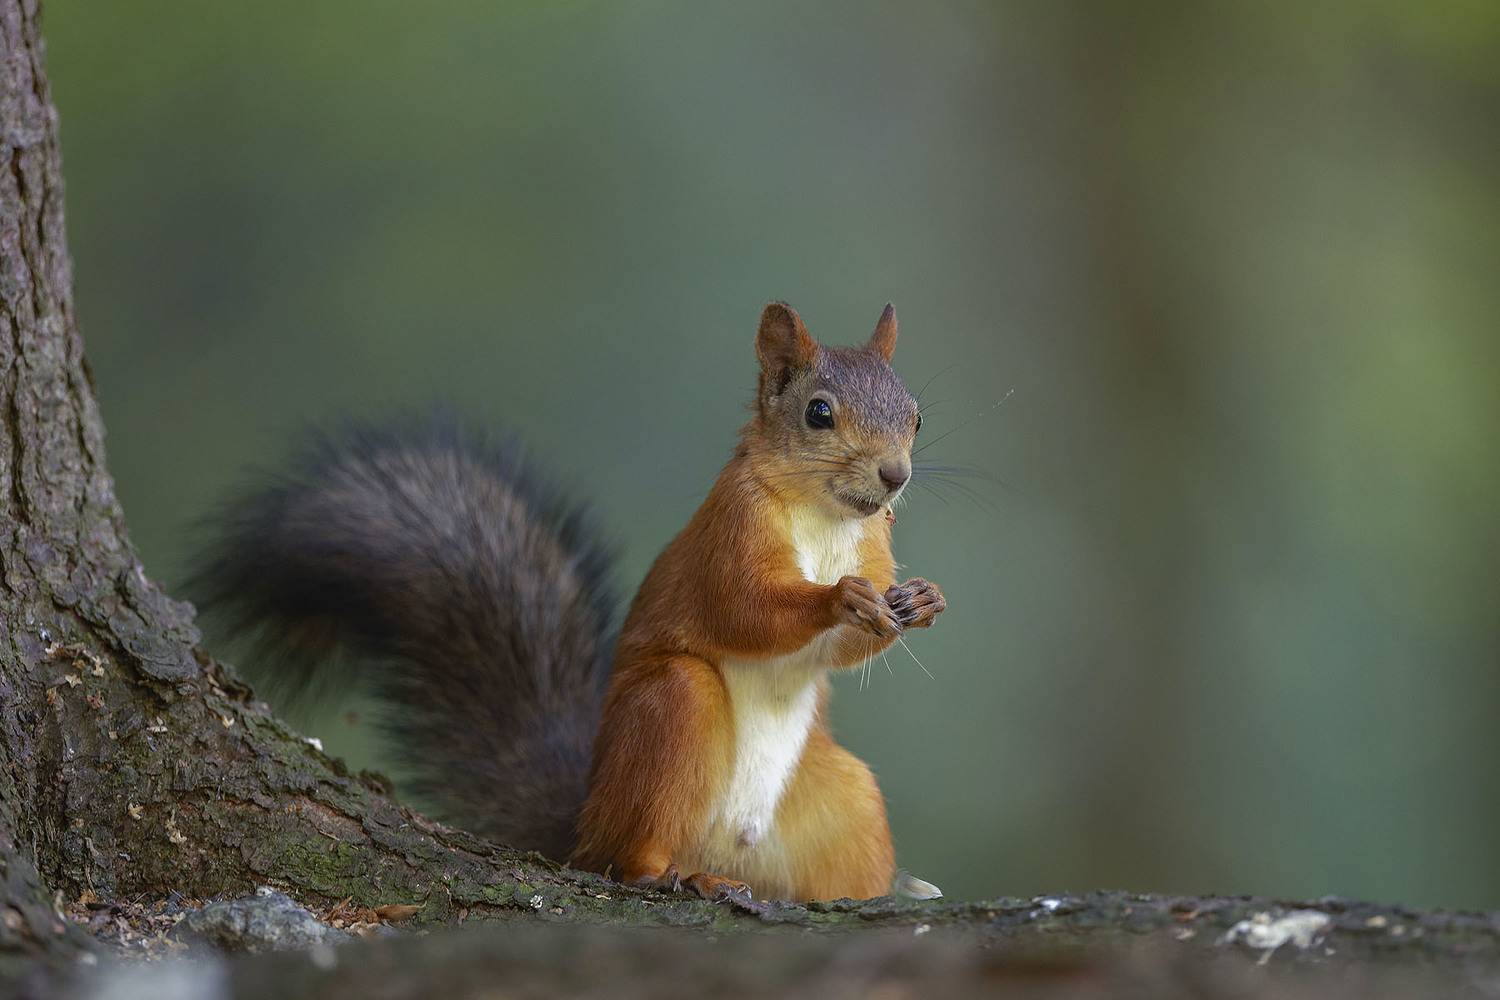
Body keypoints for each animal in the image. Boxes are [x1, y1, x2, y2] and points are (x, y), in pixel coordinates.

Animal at [191, 301, 946, 903]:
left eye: (915, 416)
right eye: (819, 413)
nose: (895, 476)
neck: (826, 518)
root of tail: (585, 820)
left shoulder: (875, 540)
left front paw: (919, 601)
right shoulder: (730, 534)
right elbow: (744, 610)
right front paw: (839, 598)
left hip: (847, 800)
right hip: (672, 714)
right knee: (627, 854)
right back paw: (670, 873)